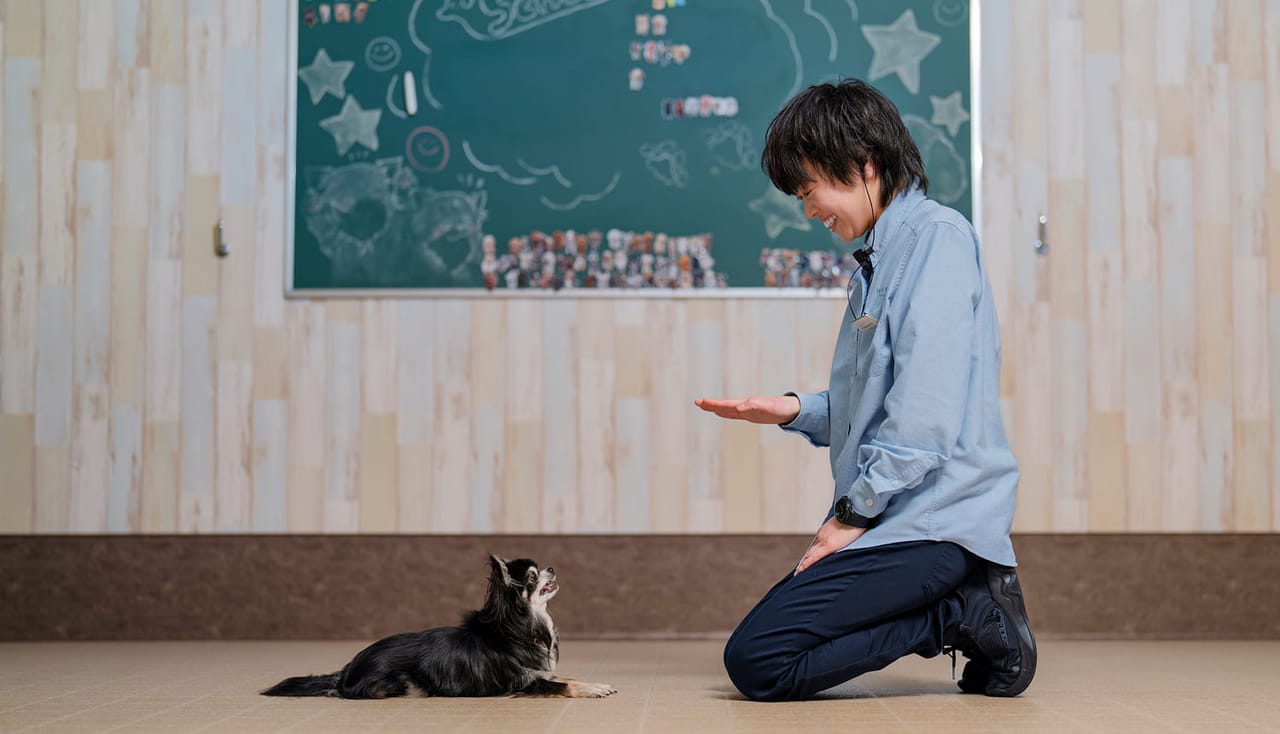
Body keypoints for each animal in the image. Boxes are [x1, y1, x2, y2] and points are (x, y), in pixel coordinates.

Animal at [261, 555, 616, 699]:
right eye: (532, 576)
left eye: (541, 568)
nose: (551, 568)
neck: (523, 624)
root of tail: (347, 669)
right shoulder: (523, 682)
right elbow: (562, 686)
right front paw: (593, 690)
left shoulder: (539, 672)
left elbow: (568, 678)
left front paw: (598, 684)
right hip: (405, 685)